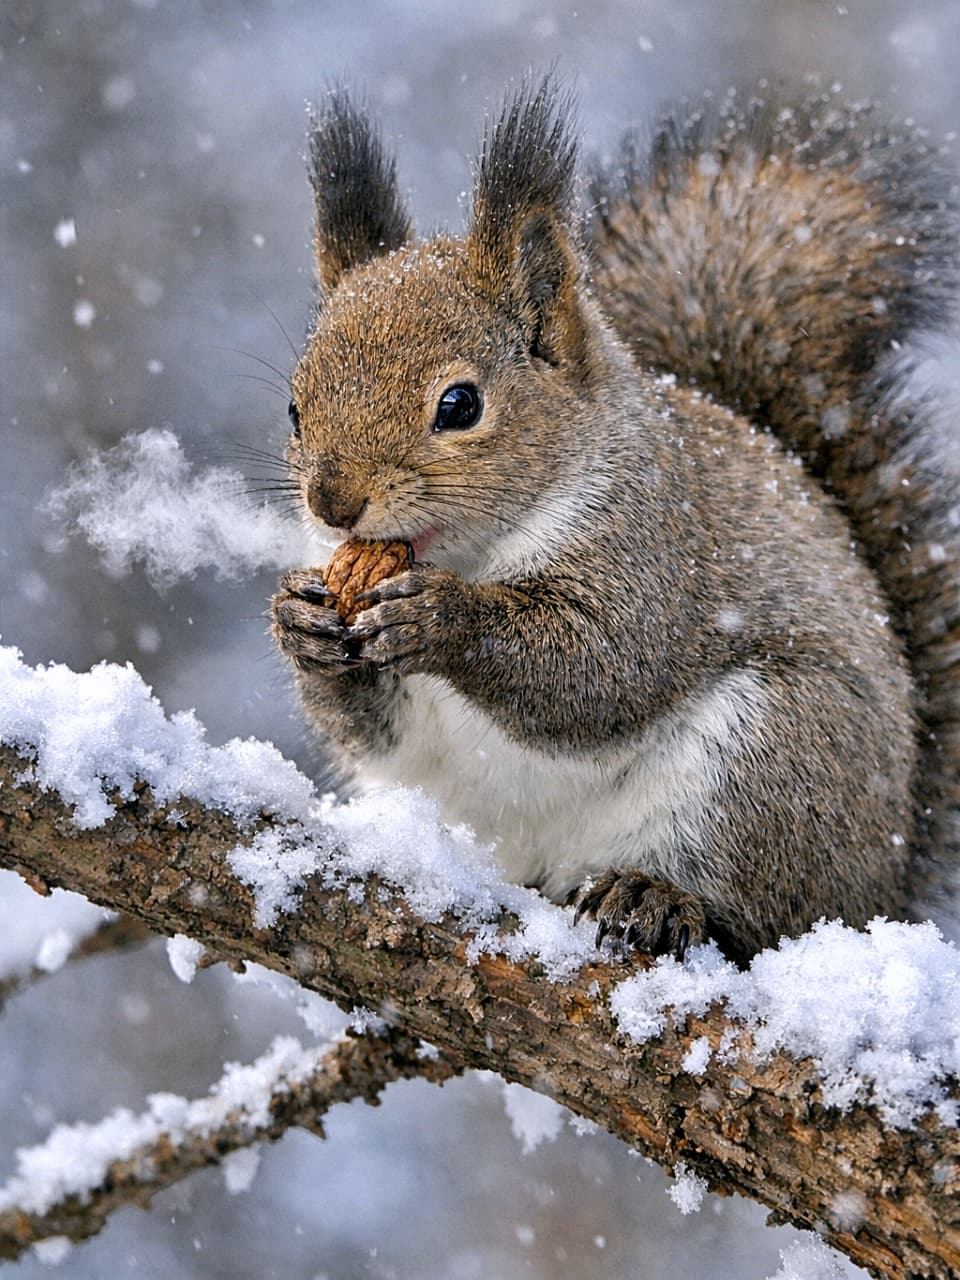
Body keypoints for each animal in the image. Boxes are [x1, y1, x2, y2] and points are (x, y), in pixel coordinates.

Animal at [270, 78, 960, 965]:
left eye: (459, 405)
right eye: (294, 407)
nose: (333, 503)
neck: (473, 553)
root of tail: (885, 884)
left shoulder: (651, 546)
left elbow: (602, 667)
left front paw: (441, 618)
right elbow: (367, 729)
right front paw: (298, 623)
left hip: (770, 766)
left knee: (750, 912)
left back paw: (656, 895)